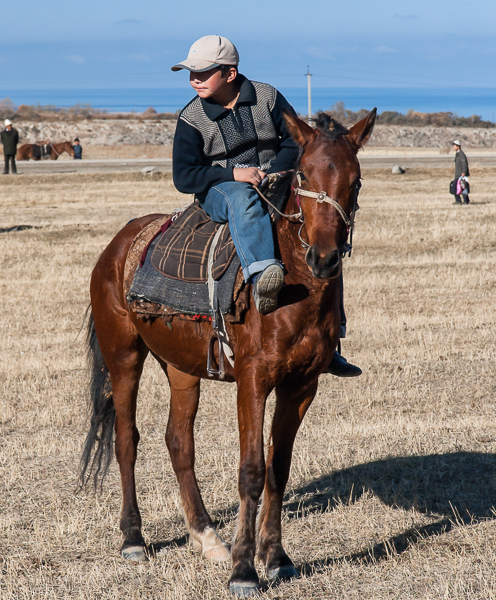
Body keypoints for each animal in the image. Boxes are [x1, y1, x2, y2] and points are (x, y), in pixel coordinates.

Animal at [80, 109, 376, 596]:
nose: (324, 257)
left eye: (355, 181)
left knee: (179, 442)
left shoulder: (301, 386)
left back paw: (206, 536)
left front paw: (276, 558)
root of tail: (119, 245)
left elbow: (278, 468)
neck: (293, 288)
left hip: (180, 367)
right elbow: (252, 471)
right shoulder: (253, 382)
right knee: (127, 441)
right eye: (303, 174)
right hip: (124, 357)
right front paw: (243, 570)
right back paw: (133, 538)